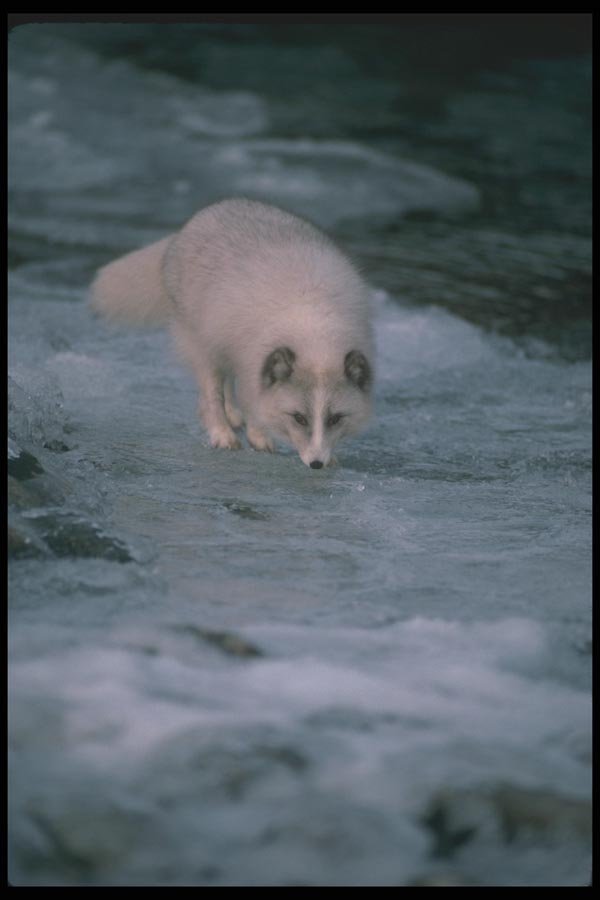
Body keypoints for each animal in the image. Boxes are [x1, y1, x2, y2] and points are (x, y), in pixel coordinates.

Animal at [90, 198, 374, 468]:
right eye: (299, 418)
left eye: (335, 418)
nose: (316, 464)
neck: (312, 325)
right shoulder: (248, 361)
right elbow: (239, 401)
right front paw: (245, 437)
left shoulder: (251, 362)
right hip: (201, 341)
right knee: (213, 389)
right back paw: (225, 428)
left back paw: (233, 415)